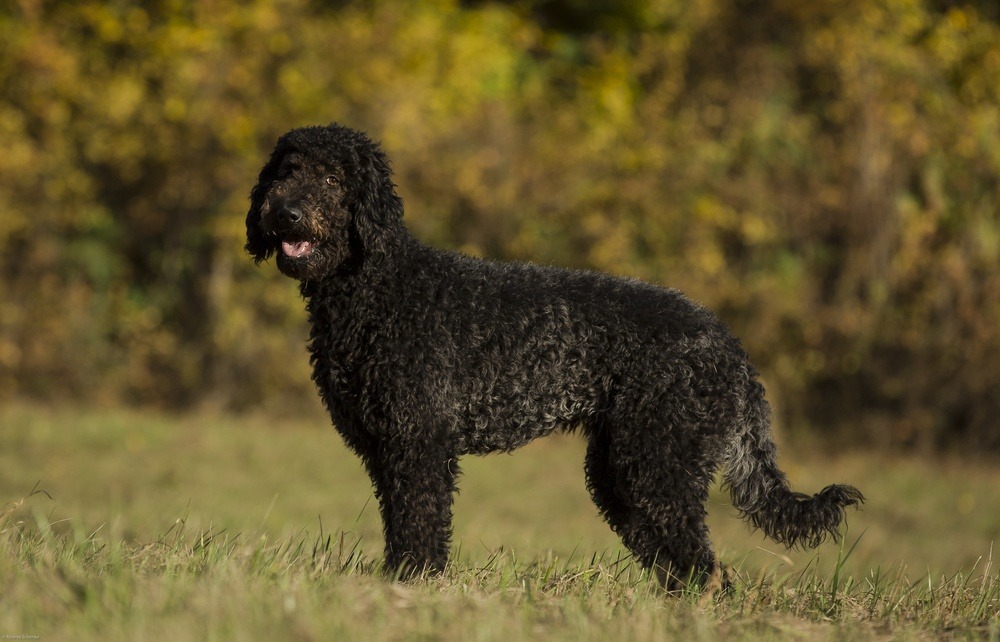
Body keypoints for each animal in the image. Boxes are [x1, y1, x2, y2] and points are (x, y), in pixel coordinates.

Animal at [246, 122, 864, 588]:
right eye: (287, 171)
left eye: (332, 177)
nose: (287, 213)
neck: (376, 288)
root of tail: (730, 346)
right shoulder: (385, 449)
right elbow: (400, 525)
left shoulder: (420, 443)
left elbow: (420, 525)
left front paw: (413, 586)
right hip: (622, 469)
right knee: (679, 560)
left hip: (657, 462)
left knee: (704, 564)